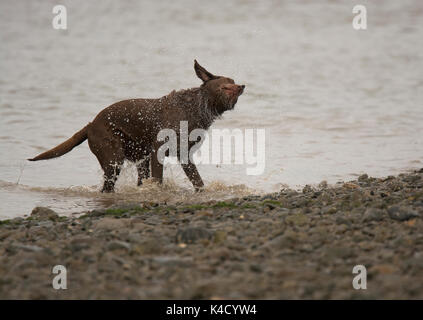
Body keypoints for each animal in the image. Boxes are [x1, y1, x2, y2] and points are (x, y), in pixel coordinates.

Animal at [29, 59, 245, 192]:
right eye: (227, 83)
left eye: (234, 80)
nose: (242, 86)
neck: (197, 108)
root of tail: (90, 125)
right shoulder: (159, 150)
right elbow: (159, 179)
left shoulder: (184, 155)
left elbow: (198, 181)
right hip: (113, 158)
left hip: (139, 156)